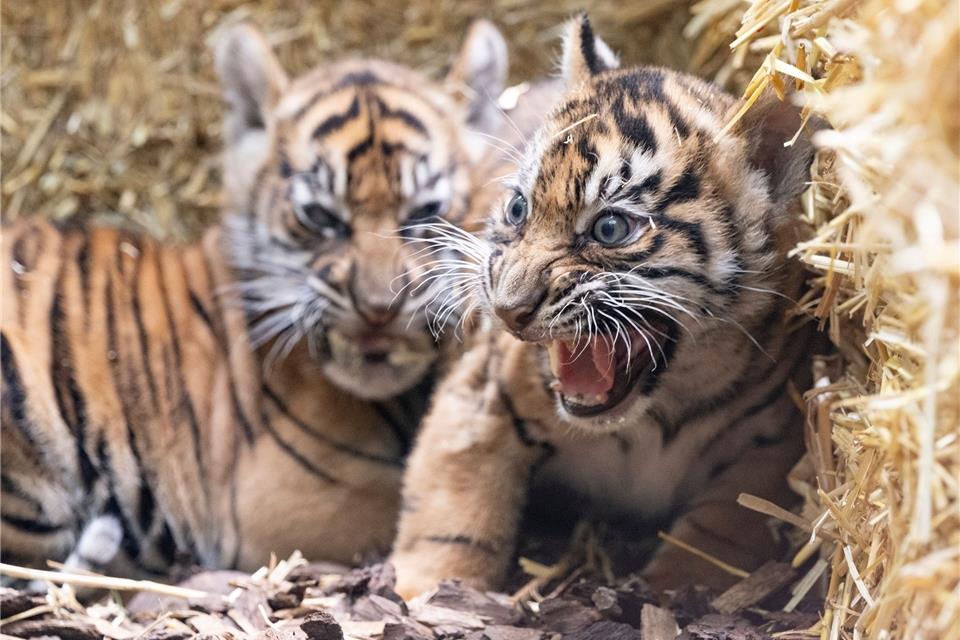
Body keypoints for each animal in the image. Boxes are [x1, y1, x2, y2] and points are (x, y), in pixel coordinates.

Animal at [389, 13, 822, 598]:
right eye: (519, 208)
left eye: (610, 228)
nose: (506, 310)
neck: (651, 417)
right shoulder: (481, 396)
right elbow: (455, 508)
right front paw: (427, 590)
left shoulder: (767, 444)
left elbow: (719, 535)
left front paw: (673, 590)